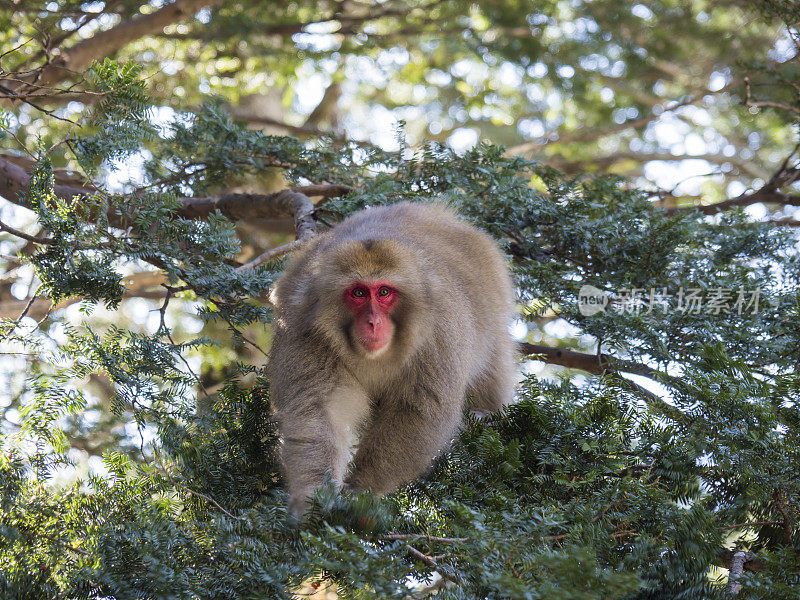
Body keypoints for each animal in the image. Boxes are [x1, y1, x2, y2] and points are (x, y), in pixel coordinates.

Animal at [268, 202, 520, 516]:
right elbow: (317, 409)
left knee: (491, 356)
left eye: (384, 292)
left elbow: (418, 412)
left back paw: (486, 411)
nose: (374, 322)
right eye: (358, 293)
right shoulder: (305, 331)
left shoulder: (439, 334)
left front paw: (360, 489)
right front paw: (312, 499)